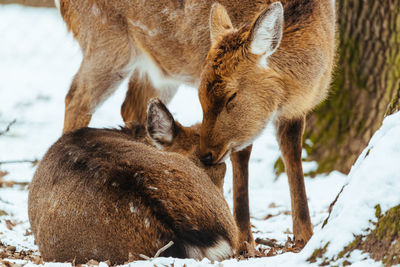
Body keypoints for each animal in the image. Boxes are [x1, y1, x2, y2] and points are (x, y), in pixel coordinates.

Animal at [57, 0, 336, 251]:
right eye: (200, 95)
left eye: (231, 96)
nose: (206, 155)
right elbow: (242, 156)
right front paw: (245, 242)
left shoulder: (295, 110)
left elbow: (293, 156)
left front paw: (306, 237)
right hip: (105, 40)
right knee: (77, 97)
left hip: (159, 69)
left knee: (132, 106)